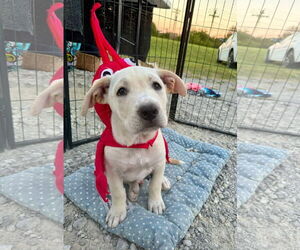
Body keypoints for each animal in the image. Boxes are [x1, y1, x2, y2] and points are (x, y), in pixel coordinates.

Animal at [81, 66, 186, 227]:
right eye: (121, 91)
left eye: (157, 85)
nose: (149, 110)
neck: (138, 142)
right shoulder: (112, 172)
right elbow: (118, 192)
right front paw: (117, 212)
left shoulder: (159, 162)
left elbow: (154, 185)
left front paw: (156, 202)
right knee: (132, 183)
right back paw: (133, 191)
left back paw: (161, 181)